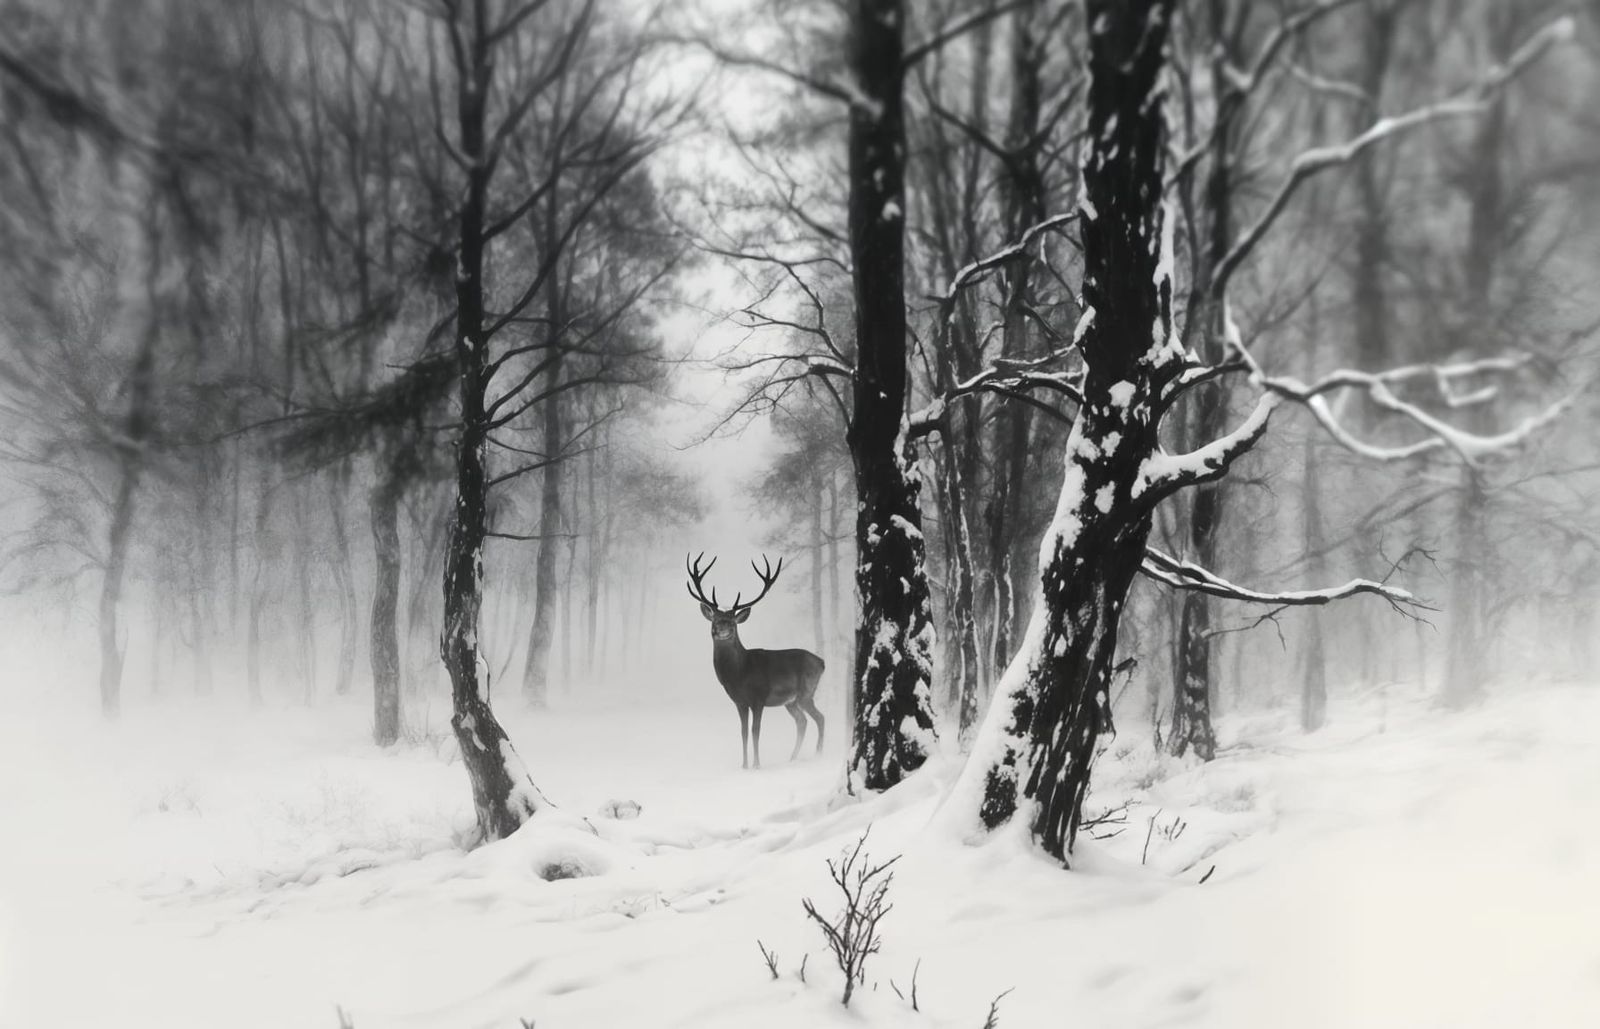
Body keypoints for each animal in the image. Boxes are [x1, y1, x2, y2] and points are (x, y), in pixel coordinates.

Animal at [686, 553, 826, 770]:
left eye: (733, 622)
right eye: (715, 620)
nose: (722, 630)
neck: (739, 674)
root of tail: (821, 662)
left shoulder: (759, 697)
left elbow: (756, 731)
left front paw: (757, 765)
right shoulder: (739, 702)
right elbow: (743, 732)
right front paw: (744, 766)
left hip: (806, 691)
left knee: (820, 718)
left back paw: (818, 755)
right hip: (791, 701)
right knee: (802, 721)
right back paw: (792, 758)